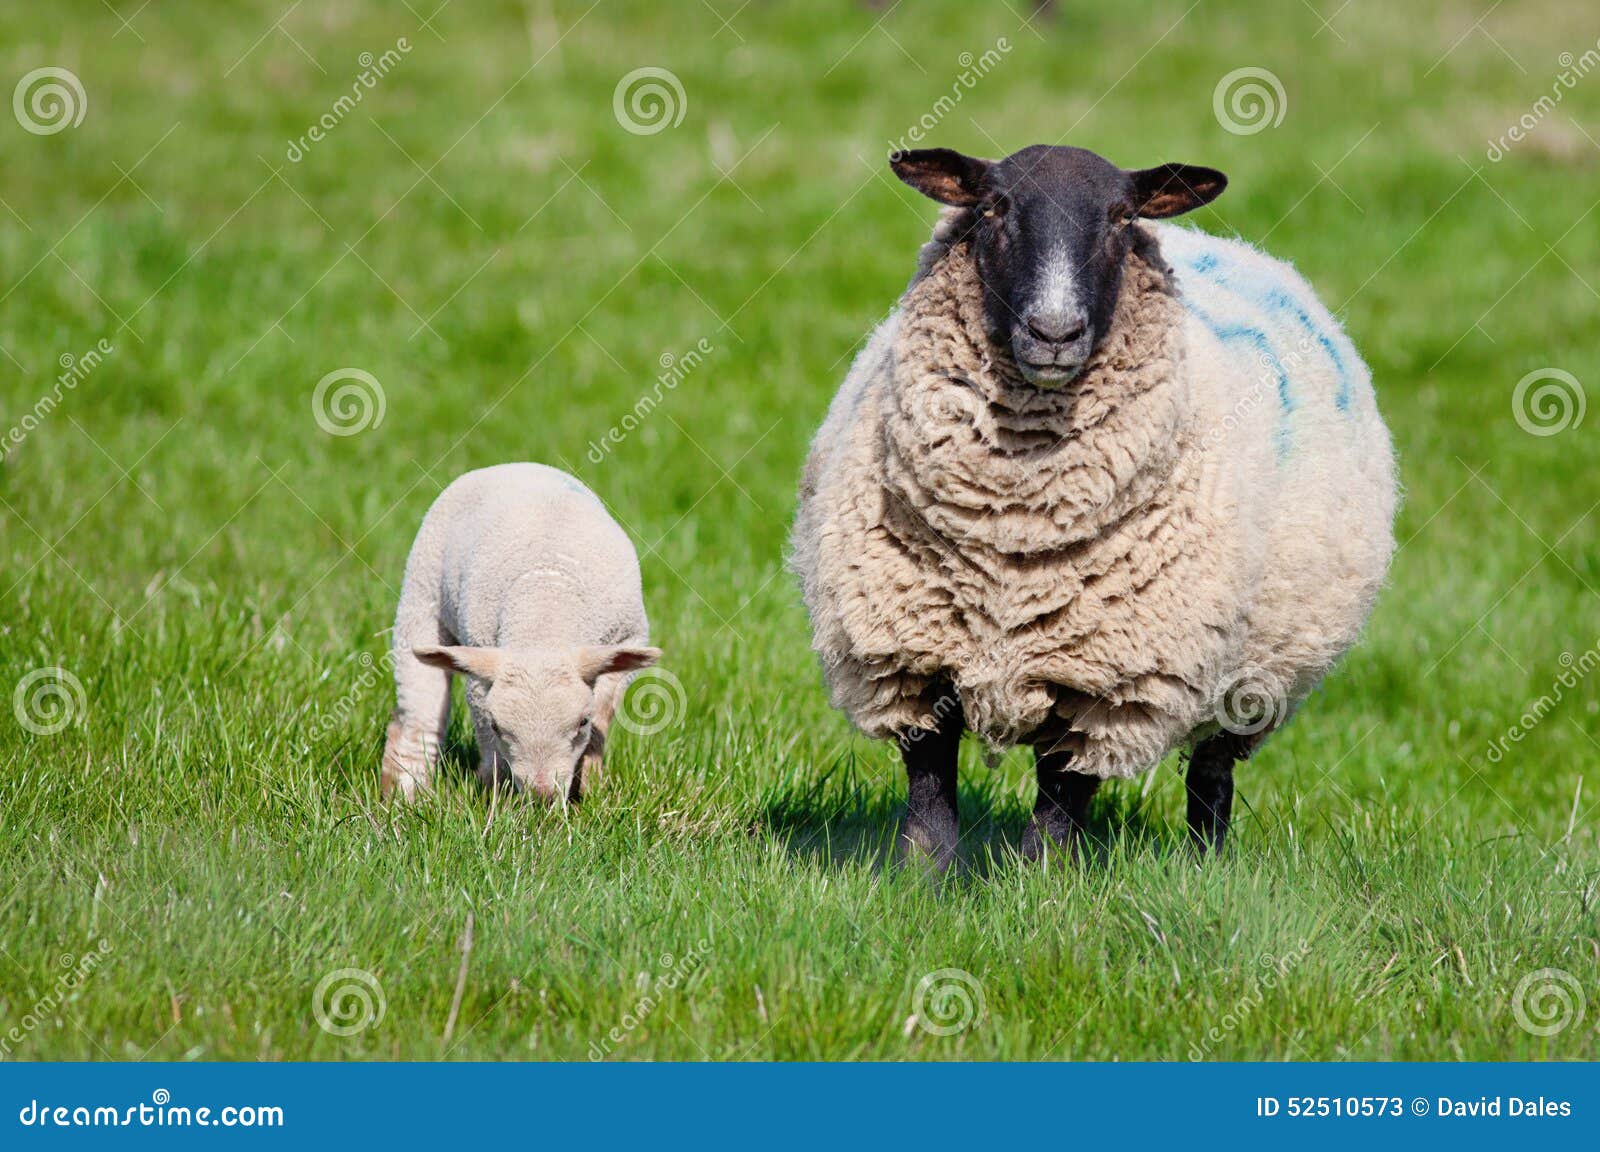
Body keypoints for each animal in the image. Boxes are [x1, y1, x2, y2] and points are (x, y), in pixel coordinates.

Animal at [381, 463, 660, 803]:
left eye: (582, 722)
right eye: (498, 726)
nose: (542, 797)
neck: (544, 613)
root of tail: (512, 466)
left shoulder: (627, 637)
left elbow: (603, 711)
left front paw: (589, 786)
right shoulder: (481, 656)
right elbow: (487, 738)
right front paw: (496, 794)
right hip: (420, 598)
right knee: (419, 716)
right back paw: (406, 794)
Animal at [790, 144, 1397, 869]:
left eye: (1121, 217)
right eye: (991, 208)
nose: (1055, 331)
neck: (1015, 526)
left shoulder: (1109, 678)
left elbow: (1060, 800)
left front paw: (1038, 883)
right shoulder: (910, 656)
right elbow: (930, 795)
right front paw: (921, 879)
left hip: (1253, 680)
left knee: (1212, 774)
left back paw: (1206, 864)